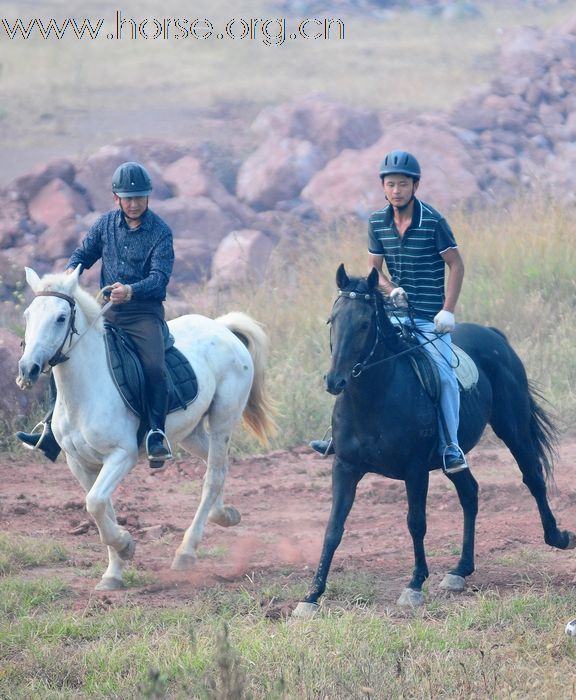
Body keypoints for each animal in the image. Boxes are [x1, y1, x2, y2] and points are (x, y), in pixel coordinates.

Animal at [17, 268, 276, 592]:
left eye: (61, 317)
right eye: (28, 315)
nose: (27, 369)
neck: (88, 386)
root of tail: (222, 328)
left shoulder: (121, 456)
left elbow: (95, 503)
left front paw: (125, 545)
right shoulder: (80, 463)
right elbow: (101, 508)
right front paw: (113, 573)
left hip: (222, 421)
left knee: (213, 476)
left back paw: (186, 552)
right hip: (190, 433)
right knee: (219, 465)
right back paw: (225, 513)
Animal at [294, 266, 572, 616]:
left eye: (364, 324)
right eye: (332, 320)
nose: (335, 381)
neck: (375, 396)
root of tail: (494, 335)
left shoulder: (414, 471)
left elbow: (416, 522)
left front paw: (414, 584)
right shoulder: (345, 467)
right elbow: (333, 528)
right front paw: (312, 594)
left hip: (513, 427)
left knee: (532, 477)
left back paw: (558, 536)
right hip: (453, 458)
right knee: (470, 492)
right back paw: (460, 570)